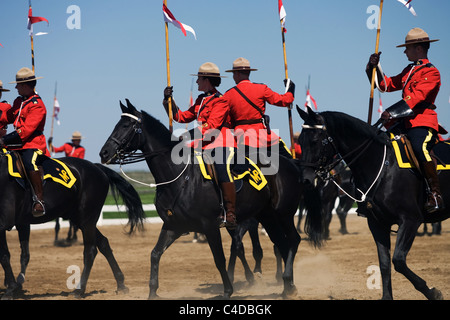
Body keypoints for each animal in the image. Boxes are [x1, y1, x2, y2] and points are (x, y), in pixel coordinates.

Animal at [0, 156, 144, 298]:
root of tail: (96, 167)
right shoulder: (21, 223)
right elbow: (19, 255)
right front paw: (14, 286)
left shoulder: (5, 224)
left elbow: (5, 256)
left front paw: (11, 288)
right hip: (80, 220)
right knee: (104, 243)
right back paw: (121, 284)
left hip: (87, 220)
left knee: (90, 251)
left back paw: (79, 290)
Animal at [98, 100, 324, 300]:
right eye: (117, 125)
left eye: (126, 126)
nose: (104, 153)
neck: (179, 177)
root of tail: (292, 163)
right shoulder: (173, 226)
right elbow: (155, 254)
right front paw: (153, 292)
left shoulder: (210, 226)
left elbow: (219, 259)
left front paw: (227, 291)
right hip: (267, 216)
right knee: (282, 244)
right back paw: (288, 286)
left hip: (283, 214)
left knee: (292, 241)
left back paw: (286, 282)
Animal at [298, 107, 448, 300]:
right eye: (300, 141)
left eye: (315, 140)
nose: (306, 180)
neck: (382, 166)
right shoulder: (377, 224)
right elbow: (384, 264)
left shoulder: (410, 220)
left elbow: (398, 261)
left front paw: (432, 292)